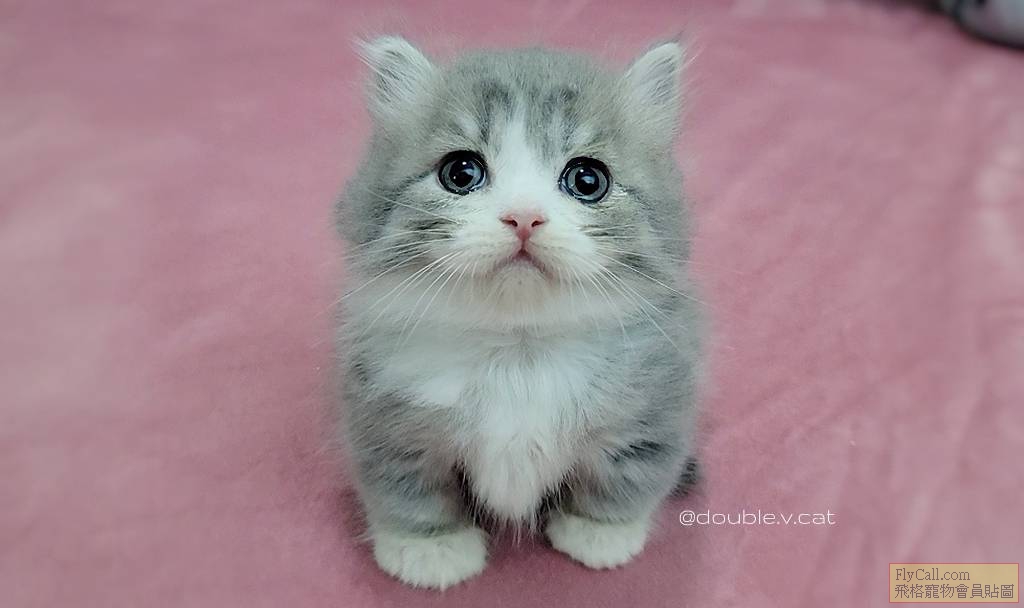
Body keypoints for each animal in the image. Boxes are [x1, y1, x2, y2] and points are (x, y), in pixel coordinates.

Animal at [334, 36, 704, 590]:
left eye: (587, 179)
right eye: (461, 172)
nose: (524, 217)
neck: (518, 348)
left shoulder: (655, 402)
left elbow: (629, 474)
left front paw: (599, 533)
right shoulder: (385, 417)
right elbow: (406, 486)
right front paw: (429, 548)